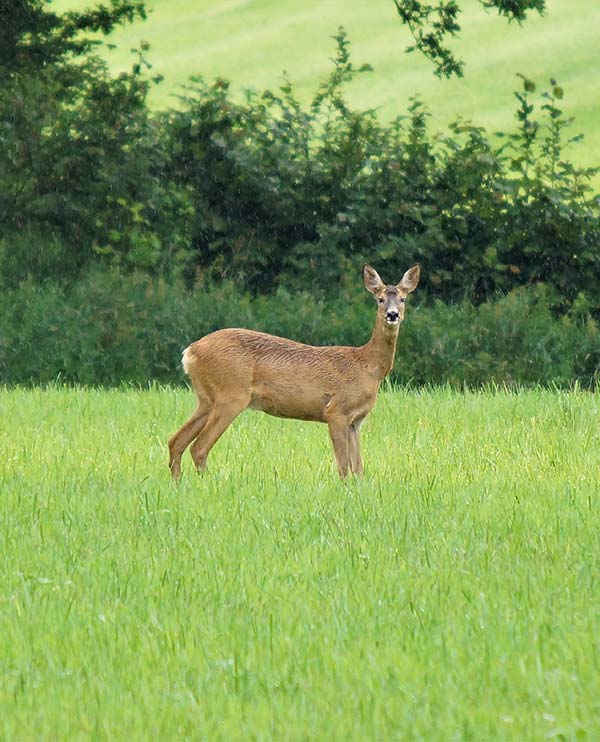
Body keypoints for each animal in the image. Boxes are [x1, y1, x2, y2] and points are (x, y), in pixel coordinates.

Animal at [169, 264, 420, 480]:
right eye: (380, 299)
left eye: (403, 298)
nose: (392, 314)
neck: (367, 367)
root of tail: (190, 352)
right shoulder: (336, 410)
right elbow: (343, 466)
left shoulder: (356, 421)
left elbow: (358, 468)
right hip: (230, 395)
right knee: (199, 447)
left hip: (206, 399)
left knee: (176, 441)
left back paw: (178, 484)